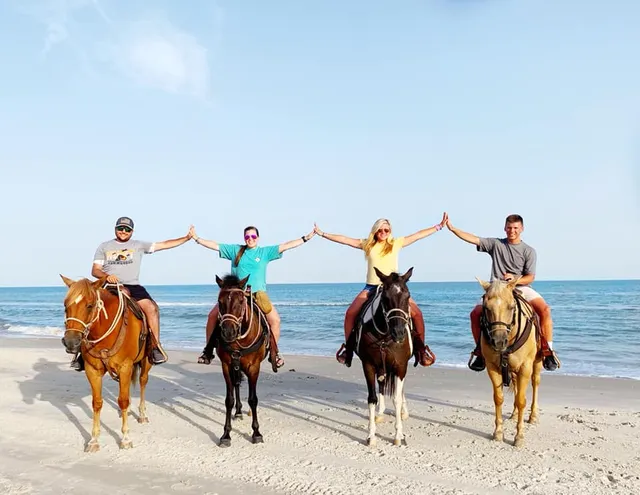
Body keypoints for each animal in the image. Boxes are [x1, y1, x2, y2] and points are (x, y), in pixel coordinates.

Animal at [61, 276, 154, 454]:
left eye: (90, 305)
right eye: (65, 305)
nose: (70, 342)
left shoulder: (125, 367)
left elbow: (123, 400)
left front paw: (126, 438)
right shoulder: (92, 370)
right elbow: (97, 403)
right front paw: (93, 440)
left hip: (145, 362)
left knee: (143, 382)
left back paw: (142, 414)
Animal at [209, 274, 272, 448]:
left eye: (241, 301)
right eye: (220, 302)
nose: (228, 332)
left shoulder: (254, 367)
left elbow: (253, 399)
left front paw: (256, 433)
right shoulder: (226, 366)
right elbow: (229, 400)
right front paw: (226, 434)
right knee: (236, 385)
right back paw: (237, 412)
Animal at [356, 270, 416, 448]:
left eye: (408, 295)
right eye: (385, 298)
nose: (399, 333)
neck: (383, 336)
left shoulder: (401, 366)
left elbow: (397, 398)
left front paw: (398, 435)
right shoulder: (368, 365)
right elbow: (372, 398)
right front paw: (371, 436)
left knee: (399, 391)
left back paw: (403, 412)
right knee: (382, 386)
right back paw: (380, 413)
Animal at [478, 280, 544, 450]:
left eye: (511, 306)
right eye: (486, 307)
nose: (498, 341)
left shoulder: (525, 367)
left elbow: (521, 401)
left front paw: (519, 437)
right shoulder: (492, 367)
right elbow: (498, 398)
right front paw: (498, 433)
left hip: (536, 363)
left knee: (535, 383)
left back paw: (533, 416)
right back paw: (514, 414)